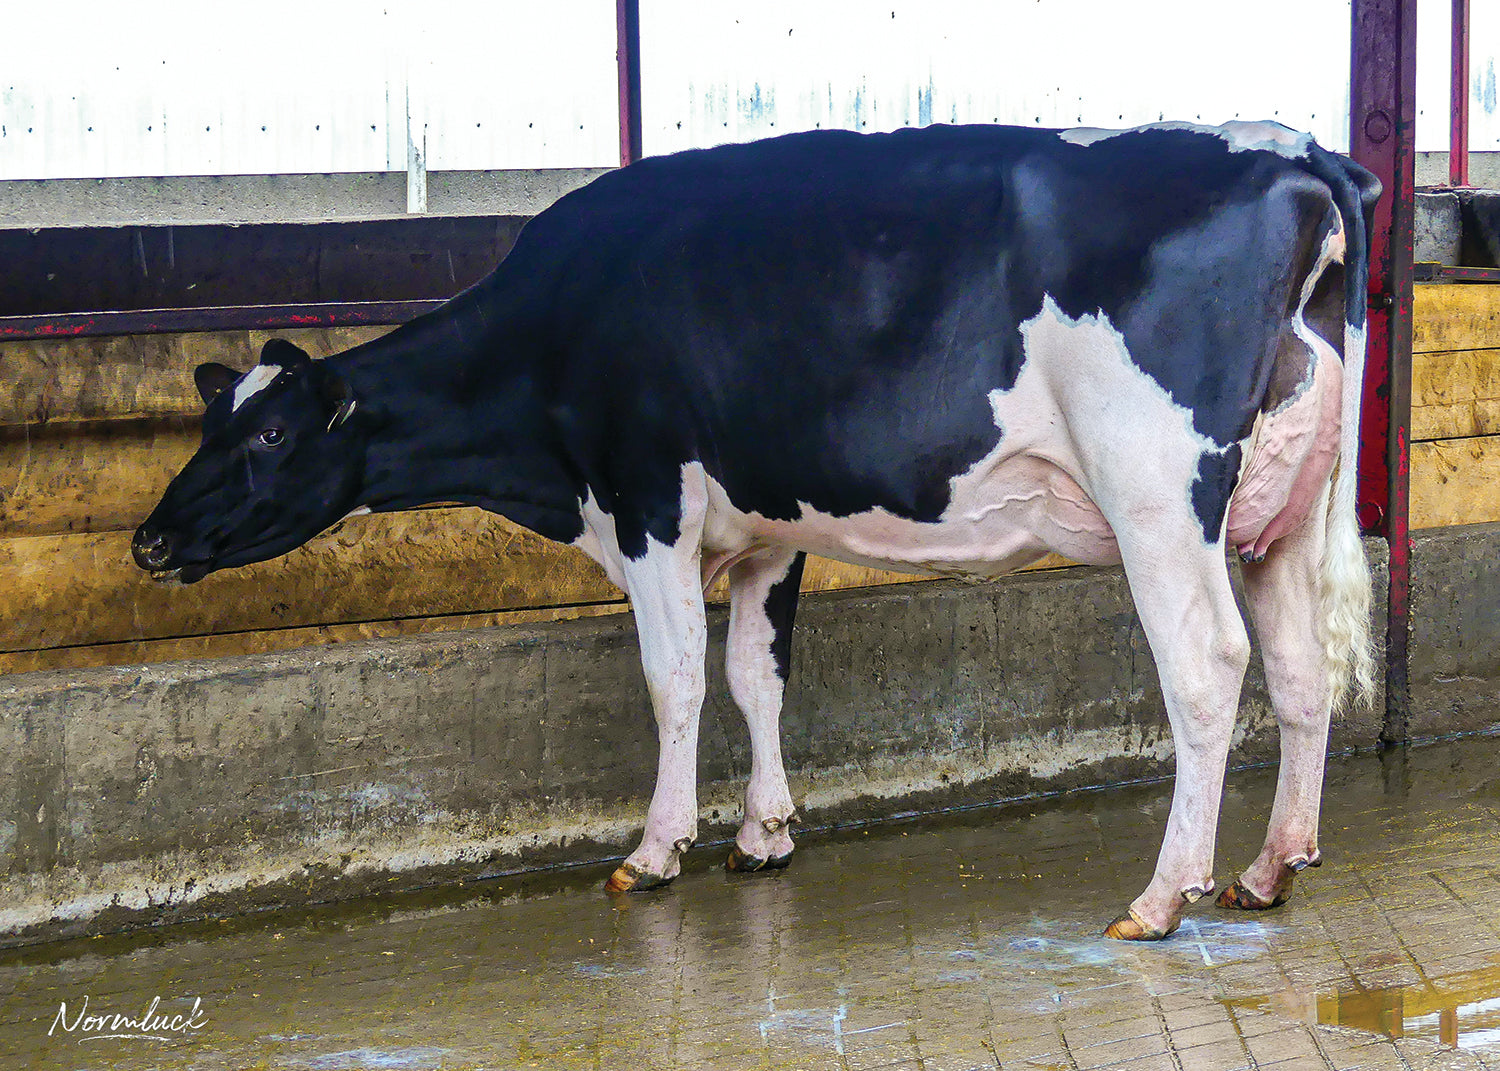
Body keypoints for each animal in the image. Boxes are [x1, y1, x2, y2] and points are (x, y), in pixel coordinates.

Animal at [133, 120, 1380, 940]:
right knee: (1299, 670)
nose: (148, 540)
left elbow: (676, 676)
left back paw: (1163, 898)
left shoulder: (646, 502)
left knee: (1208, 668)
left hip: (1158, 495)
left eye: (273, 433)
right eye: (211, 421)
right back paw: (1272, 867)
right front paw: (765, 834)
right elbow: (757, 674)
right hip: (1285, 508)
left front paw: (657, 850)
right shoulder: (766, 525)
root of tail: (1292, 150)